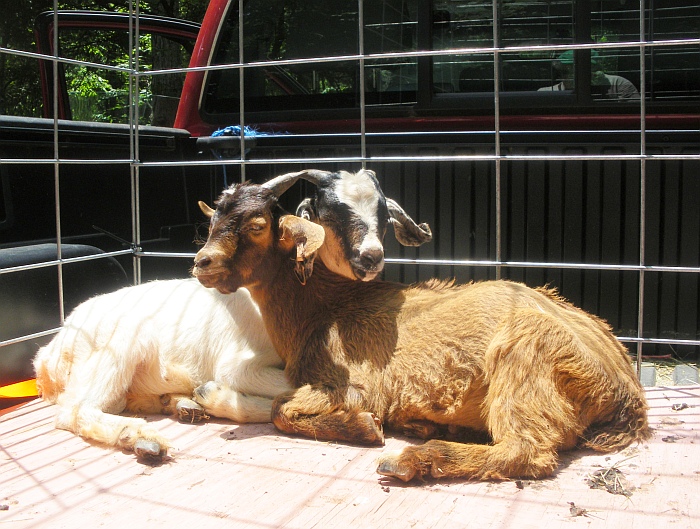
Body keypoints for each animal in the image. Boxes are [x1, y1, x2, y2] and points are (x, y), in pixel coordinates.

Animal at [193, 170, 651, 482]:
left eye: (257, 226)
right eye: (212, 223)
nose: (201, 263)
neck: (324, 306)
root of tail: (626, 391)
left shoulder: (353, 385)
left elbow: (280, 410)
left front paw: (365, 428)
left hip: (526, 353)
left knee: (526, 449)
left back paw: (413, 460)